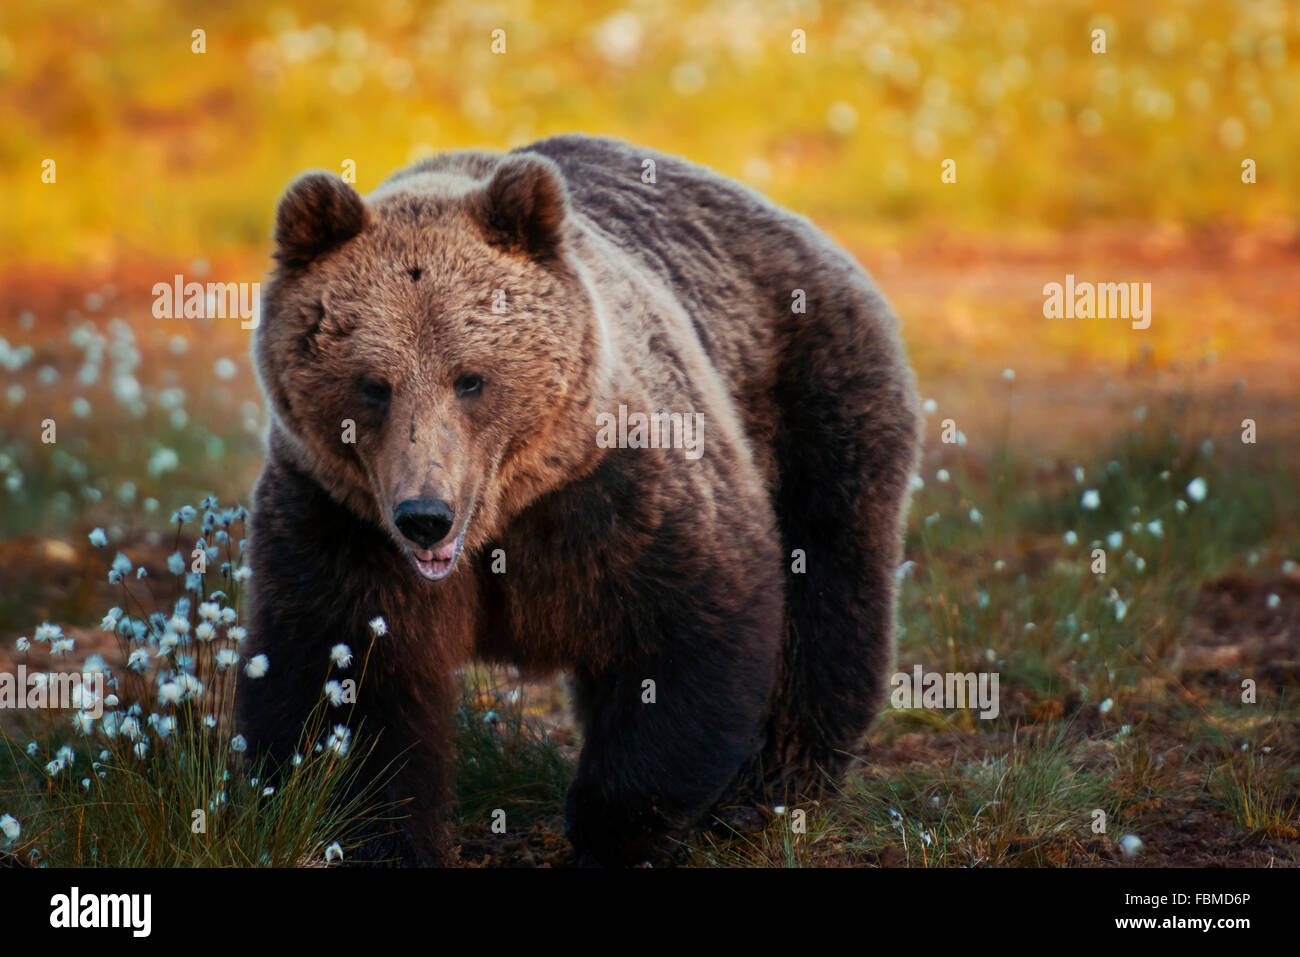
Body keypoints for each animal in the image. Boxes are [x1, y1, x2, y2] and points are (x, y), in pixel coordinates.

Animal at [236, 134, 925, 868]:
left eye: (470, 378)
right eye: (374, 384)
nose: (425, 517)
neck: (502, 518)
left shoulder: (619, 491)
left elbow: (689, 632)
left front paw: (614, 824)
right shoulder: (341, 518)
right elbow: (345, 680)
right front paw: (369, 831)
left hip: (814, 401)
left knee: (828, 592)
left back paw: (769, 789)